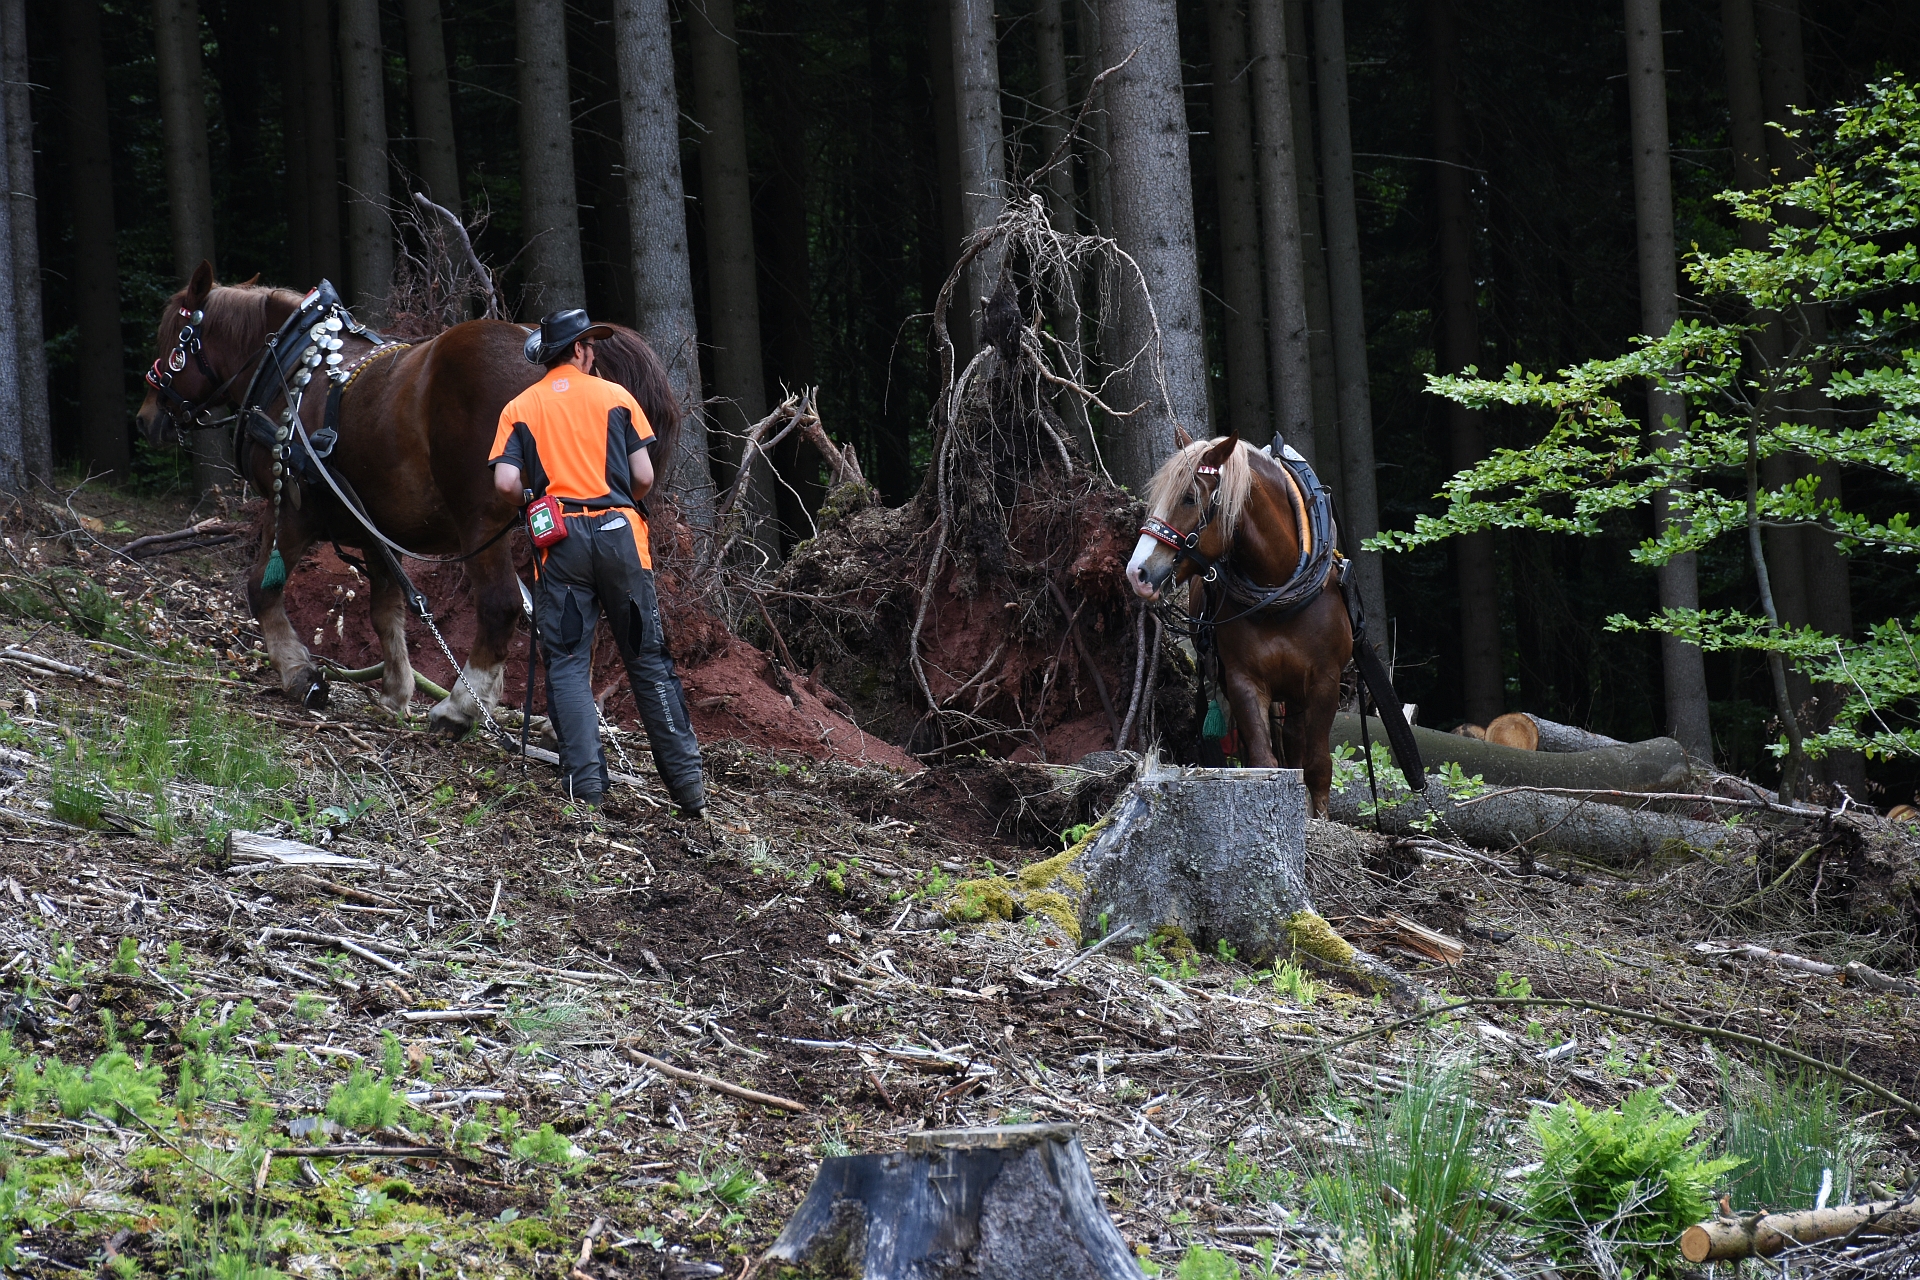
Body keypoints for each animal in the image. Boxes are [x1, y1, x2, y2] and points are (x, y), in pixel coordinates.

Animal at [135, 261, 680, 735]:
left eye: (175, 336)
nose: (146, 418)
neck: (292, 369)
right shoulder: (375, 527)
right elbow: (387, 609)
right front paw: (396, 691)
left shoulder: (289, 506)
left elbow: (262, 588)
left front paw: (299, 674)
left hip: (482, 519)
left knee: (501, 605)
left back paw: (459, 707)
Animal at [1123, 431, 1353, 816]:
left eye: (1188, 498)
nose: (1137, 573)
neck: (1277, 593)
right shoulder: (1244, 679)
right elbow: (1262, 760)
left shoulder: (1325, 680)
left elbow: (1318, 765)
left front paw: (1317, 818)